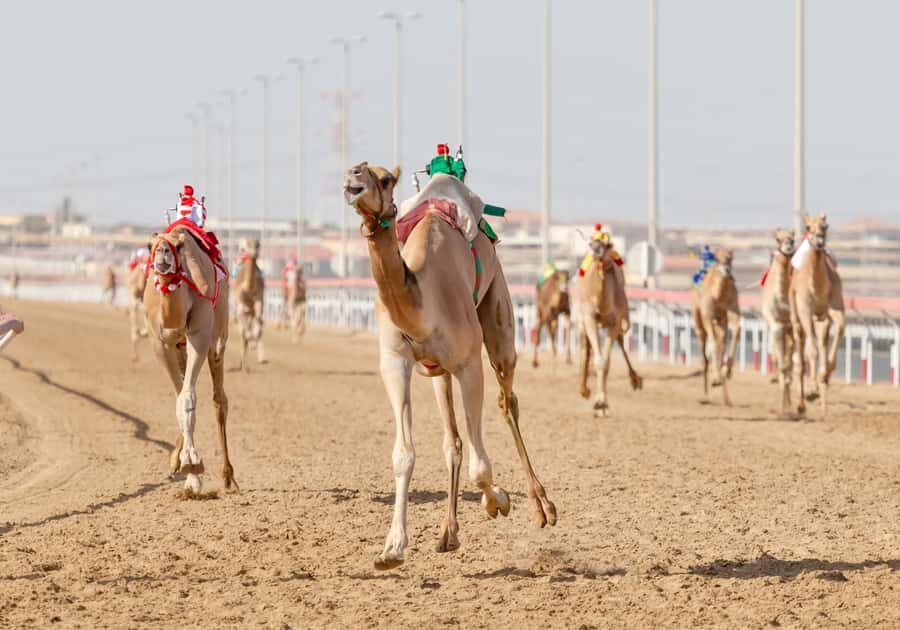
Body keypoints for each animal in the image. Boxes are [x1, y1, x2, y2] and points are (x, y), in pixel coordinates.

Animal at [143, 227, 237, 494]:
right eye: (149, 245)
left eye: (179, 247)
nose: (163, 252)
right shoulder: (161, 344)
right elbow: (180, 398)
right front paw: (187, 469)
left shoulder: (199, 335)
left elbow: (187, 398)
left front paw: (192, 465)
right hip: (179, 349)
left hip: (218, 339)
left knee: (219, 400)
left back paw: (227, 475)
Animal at [344, 163, 556, 570]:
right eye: (358, 171)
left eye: (386, 179)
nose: (353, 177)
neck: (423, 306)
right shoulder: (395, 362)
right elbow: (404, 454)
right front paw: (392, 548)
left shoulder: (469, 364)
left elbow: (481, 466)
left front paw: (499, 501)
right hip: (436, 371)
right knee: (453, 439)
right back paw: (448, 533)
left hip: (499, 318)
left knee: (507, 402)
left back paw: (543, 507)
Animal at [572, 238, 642, 417]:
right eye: (591, 242)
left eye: (606, 243)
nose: (596, 249)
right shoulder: (589, 318)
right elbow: (598, 360)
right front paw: (598, 403)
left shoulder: (615, 322)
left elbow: (606, 362)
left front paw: (601, 404)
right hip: (581, 320)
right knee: (585, 348)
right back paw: (583, 389)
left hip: (622, 321)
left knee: (620, 342)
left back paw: (635, 379)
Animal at [691, 248, 740, 406]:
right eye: (718, 259)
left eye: (730, 258)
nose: (727, 270)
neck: (718, 295)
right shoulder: (707, 315)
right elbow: (713, 344)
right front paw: (717, 378)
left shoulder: (733, 313)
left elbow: (736, 332)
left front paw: (727, 371)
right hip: (698, 320)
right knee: (705, 355)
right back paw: (706, 394)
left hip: (720, 321)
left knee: (721, 342)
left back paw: (726, 397)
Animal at [789, 214, 845, 418]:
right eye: (807, 227)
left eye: (825, 226)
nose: (819, 241)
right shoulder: (805, 311)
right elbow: (811, 351)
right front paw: (812, 391)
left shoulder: (834, 309)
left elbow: (839, 329)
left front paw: (826, 374)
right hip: (797, 319)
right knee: (801, 353)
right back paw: (802, 403)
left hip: (820, 320)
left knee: (820, 343)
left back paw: (822, 403)